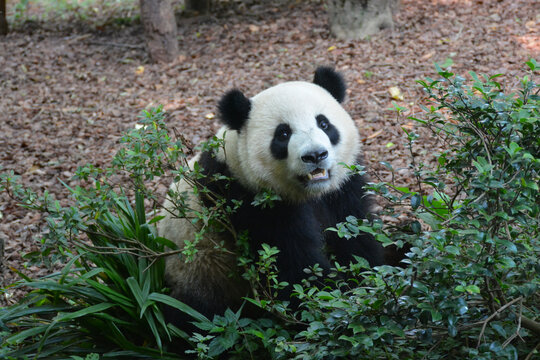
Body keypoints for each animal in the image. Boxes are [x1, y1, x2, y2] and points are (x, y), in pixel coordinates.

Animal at [158, 67, 386, 320]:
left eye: (324, 123)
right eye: (283, 133)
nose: (315, 155)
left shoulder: (343, 188)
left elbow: (354, 233)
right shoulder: (248, 202)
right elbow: (293, 266)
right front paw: (339, 300)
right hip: (201, 274)